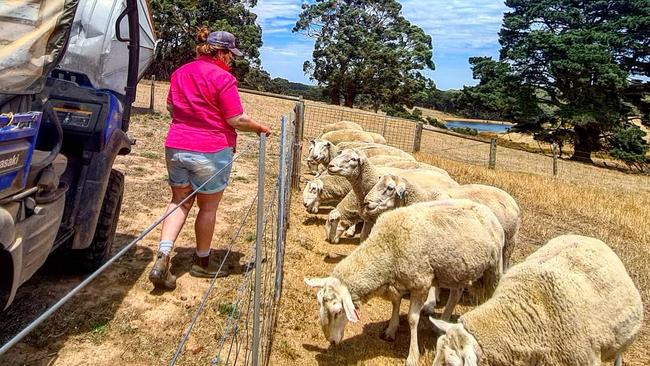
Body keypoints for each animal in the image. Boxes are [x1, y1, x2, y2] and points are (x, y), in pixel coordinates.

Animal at [302, 199, 502, 366]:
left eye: (337, 312)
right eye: (319, 305)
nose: (331, 341)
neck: (387, 246)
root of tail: (487, 210)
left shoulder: (421, 283)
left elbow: (413, 319)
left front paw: (412, 356)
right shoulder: (396, 282)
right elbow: (395, 302)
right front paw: (391, 330)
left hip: (492, 268)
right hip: (455, 270)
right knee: (456, 293)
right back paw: (443, 322)